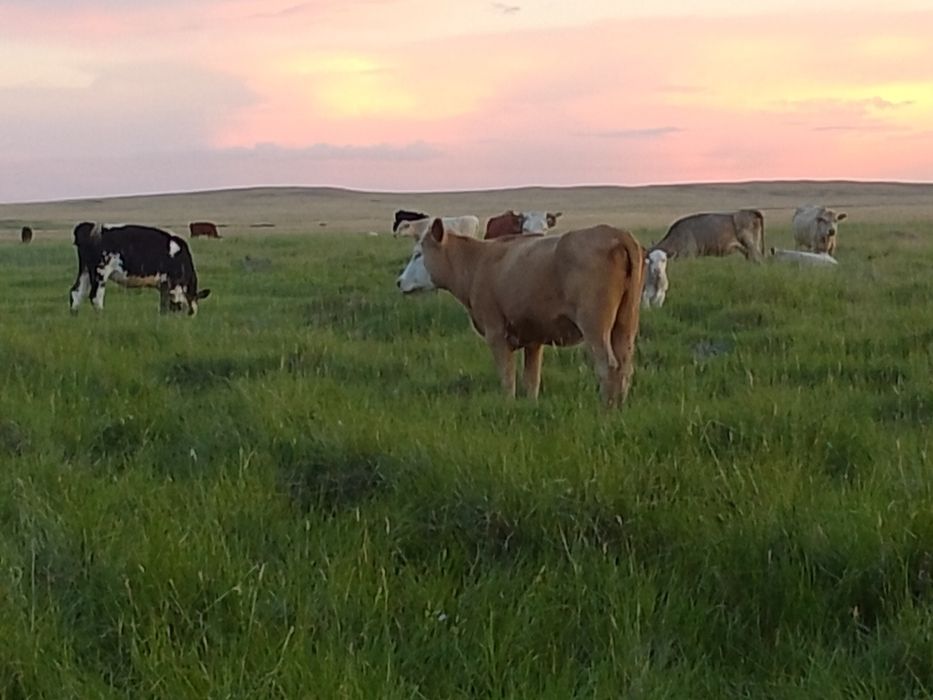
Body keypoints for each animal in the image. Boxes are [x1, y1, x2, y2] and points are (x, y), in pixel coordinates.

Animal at [69, 222, 210, 316]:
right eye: (190, 312)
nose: (189, 317)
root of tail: (92, 226)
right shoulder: (172, 282)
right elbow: (169, 302)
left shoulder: (164, 285)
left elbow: (163, 303)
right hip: (101, 271)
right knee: (95, 296)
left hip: (85, 271)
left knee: (76, 292)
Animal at [397, 219, 644, 407]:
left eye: (418, 254)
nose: (399, 282)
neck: (477, 262)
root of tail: (616, 234)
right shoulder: (533, 338)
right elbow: (531, 379)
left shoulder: (495, 331)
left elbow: (507, 377)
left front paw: (507, 405)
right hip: (626, 322)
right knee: (625, 366)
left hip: (594, 324)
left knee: (608, 366)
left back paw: (606, 411)